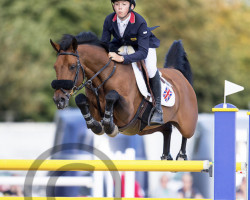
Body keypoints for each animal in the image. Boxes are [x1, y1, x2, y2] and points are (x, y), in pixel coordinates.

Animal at [49, 31, 198, 159]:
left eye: (72, 66)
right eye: (55, 67)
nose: (59, 100)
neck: (104, 77)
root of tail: (178, 74)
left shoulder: (127, 114)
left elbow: (112, 96)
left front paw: (109, 126)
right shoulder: (95, 110)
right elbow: (81, 100)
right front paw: (96, 126)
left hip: (187, 123)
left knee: (186, 134)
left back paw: (182, 157)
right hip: (147, 128)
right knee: (167, 129)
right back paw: (166, 156)